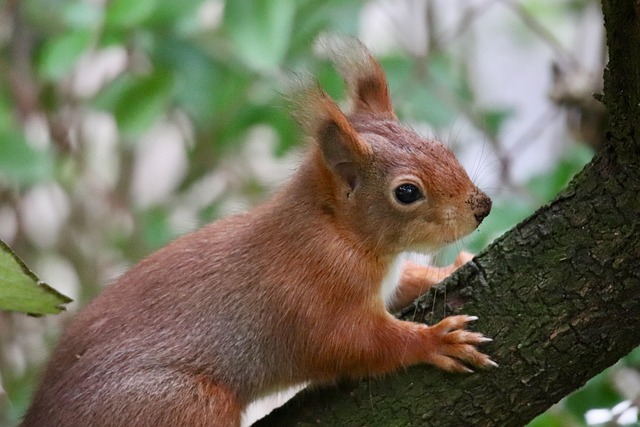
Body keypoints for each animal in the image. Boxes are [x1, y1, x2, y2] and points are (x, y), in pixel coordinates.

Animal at [22, 36, 494, 427]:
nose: (483, 207)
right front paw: (435, 340)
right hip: (184, 404)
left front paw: (449, 267)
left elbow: (406, 282)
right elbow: (354, 344)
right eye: (407, 192)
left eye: (439, 146)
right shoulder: (313, 296)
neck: (336, 228)